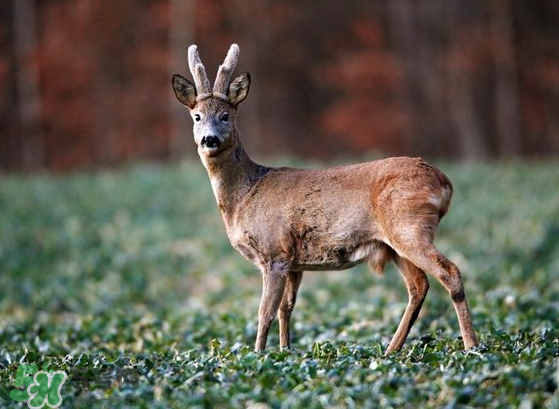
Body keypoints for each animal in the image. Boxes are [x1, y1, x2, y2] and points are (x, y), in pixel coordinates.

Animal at [171, 43, 476, 354]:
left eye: (225, 115)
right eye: (197, 116)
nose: (209, 139)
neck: (243, 197)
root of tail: (444, 181)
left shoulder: (273, 251)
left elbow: (264, 312)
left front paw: (257, 356)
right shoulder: (293, 261)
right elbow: (286, 309)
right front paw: (285, 352)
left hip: (408, 227)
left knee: (450, 272)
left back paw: (471, 346)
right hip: (393, 244)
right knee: (418, 286)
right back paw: (392, 350)